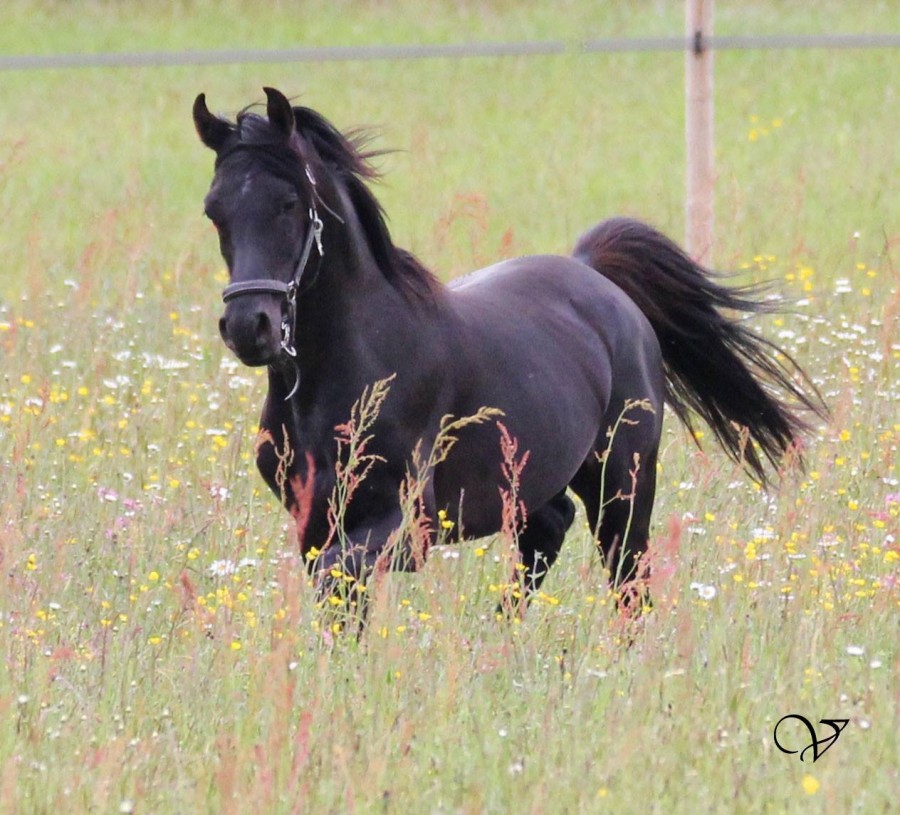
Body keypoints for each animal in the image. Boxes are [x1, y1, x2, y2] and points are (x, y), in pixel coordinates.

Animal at [193, 87, 828, 612]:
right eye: (214, 210)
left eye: (289, 202)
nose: (249, 326)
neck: (353, 369)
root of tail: (592, 273)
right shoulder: (316, 522)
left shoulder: (406, 525)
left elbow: (337, 575)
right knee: (547, 532)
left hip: (622, 484)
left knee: (628, 580)